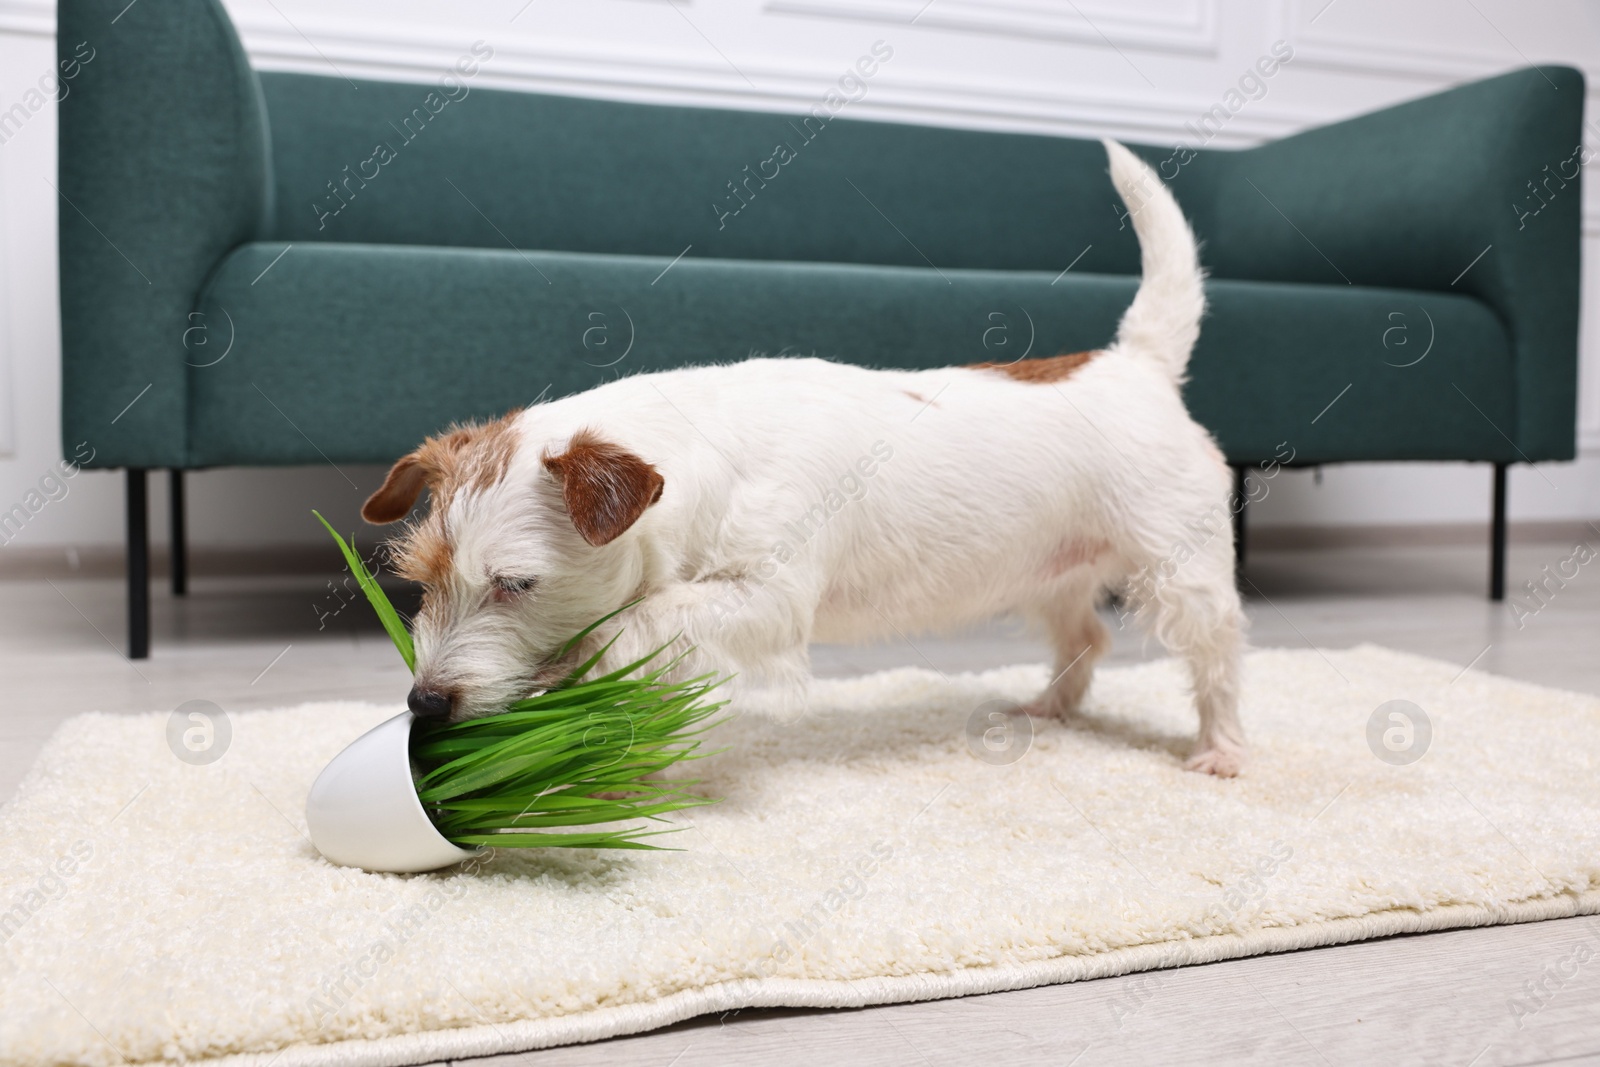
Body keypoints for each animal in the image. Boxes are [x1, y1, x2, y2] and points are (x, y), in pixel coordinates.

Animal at [366, 139, 1248, 777]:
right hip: (1050, 574)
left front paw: (581, 658)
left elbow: (644, 616)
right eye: (420, 579)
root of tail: (1136, 364)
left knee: (1217, 654)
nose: (425, 703)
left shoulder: (768, 598)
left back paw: (1221, 749)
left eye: (516, 584)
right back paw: (1050, 709)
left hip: (1183, 572)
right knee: (1086, 638)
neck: (701, 465)